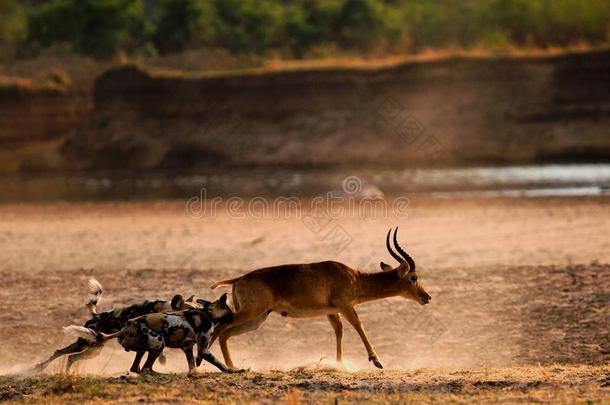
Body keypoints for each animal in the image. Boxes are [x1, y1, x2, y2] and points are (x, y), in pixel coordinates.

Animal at [35, 280, 198, 370]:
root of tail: (96, 316)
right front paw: (162, 359)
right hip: (88, 346)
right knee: (64, 354)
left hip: (91, 349)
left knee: (67, 356)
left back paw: (51, 370)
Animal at [65, 290, 236, 372]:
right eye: (230, 309)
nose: (236, 315)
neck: (207, 313)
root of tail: (124, 328)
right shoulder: (204, 350)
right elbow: (220, 364)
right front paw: (233, 371)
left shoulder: (187, 348)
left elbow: (192, 365)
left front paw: (194, 373)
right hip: (158, 342)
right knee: (146, 368)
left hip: (144, 348)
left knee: (137, 368)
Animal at [211, 229, 430, 368]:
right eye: (413, 277)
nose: (427, 297)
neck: (354, 277)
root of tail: (239, 279)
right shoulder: (345, 306)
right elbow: (359, 325)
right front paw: (377, 361)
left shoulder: (332, 312)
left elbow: (339, 331)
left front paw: (339, 364)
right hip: (251, 313)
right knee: (220, 327)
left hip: (257, 319)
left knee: (225, 334)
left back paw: (230, 365)